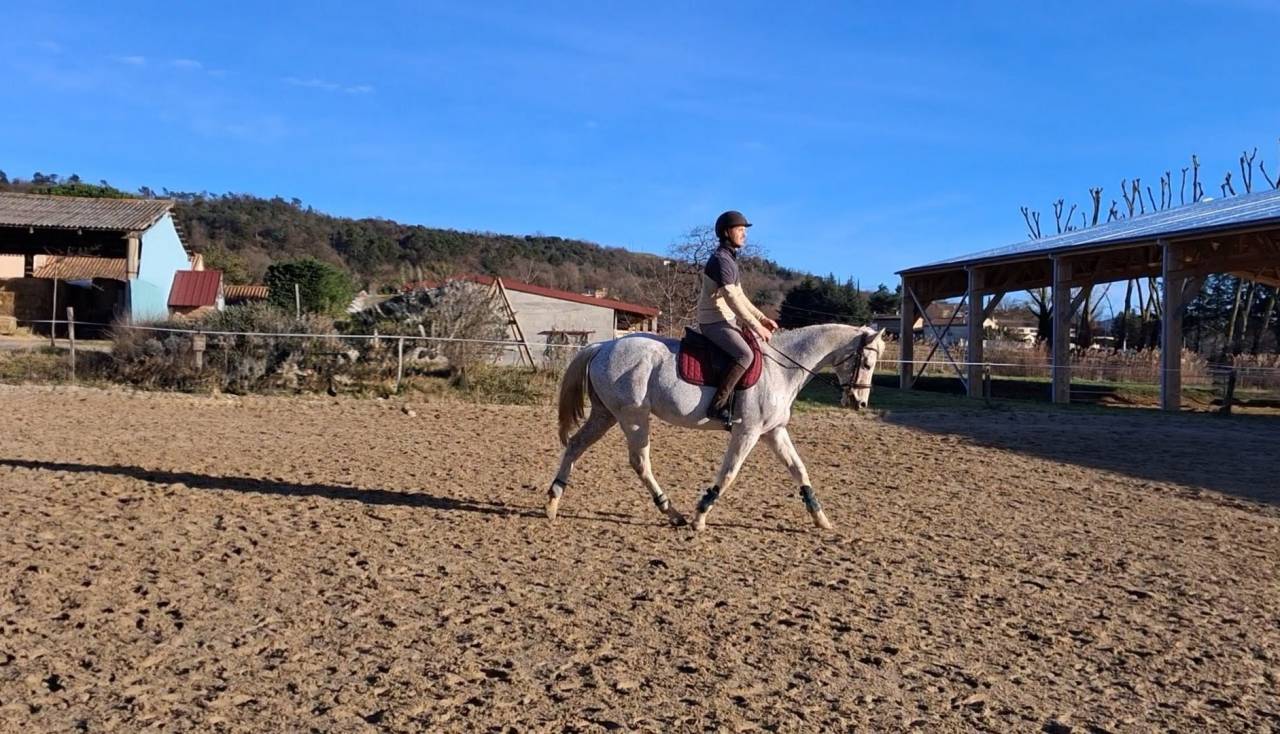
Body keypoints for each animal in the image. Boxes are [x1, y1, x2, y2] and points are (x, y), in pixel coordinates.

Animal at [547, 323, 886, 531]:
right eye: (867, 363)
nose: (859, 403)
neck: (781, 369)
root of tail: (603, 345)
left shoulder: (773, 432)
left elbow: (799, 470)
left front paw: (821, 518)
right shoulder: (748, 431)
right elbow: (730, 473)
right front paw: (700, 515)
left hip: (605, 415)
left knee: (575, 446)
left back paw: (552, 502)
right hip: (633, 418)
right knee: (640, 462)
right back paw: (674, 513)